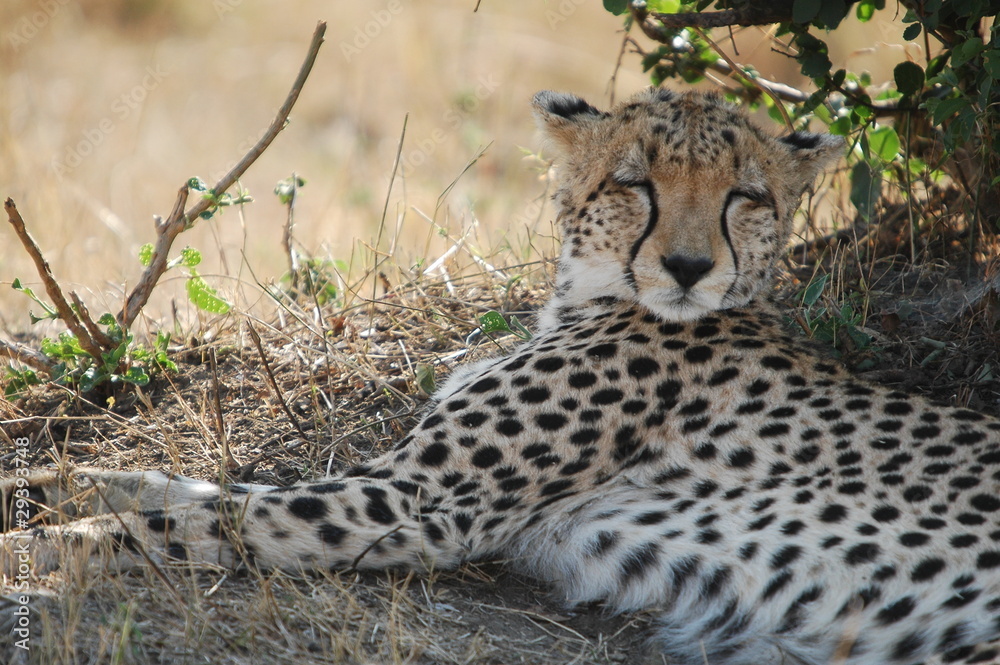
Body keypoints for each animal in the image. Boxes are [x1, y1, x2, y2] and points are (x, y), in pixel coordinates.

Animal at [5, 88, 1000, 665]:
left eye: (745, 197)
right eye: (636, 183)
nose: (686, 268)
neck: (590, 296)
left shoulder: (417, 505)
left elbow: (187, 520)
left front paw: (42, 544)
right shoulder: (395, 480)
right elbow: (187, 483)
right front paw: (47, 483)